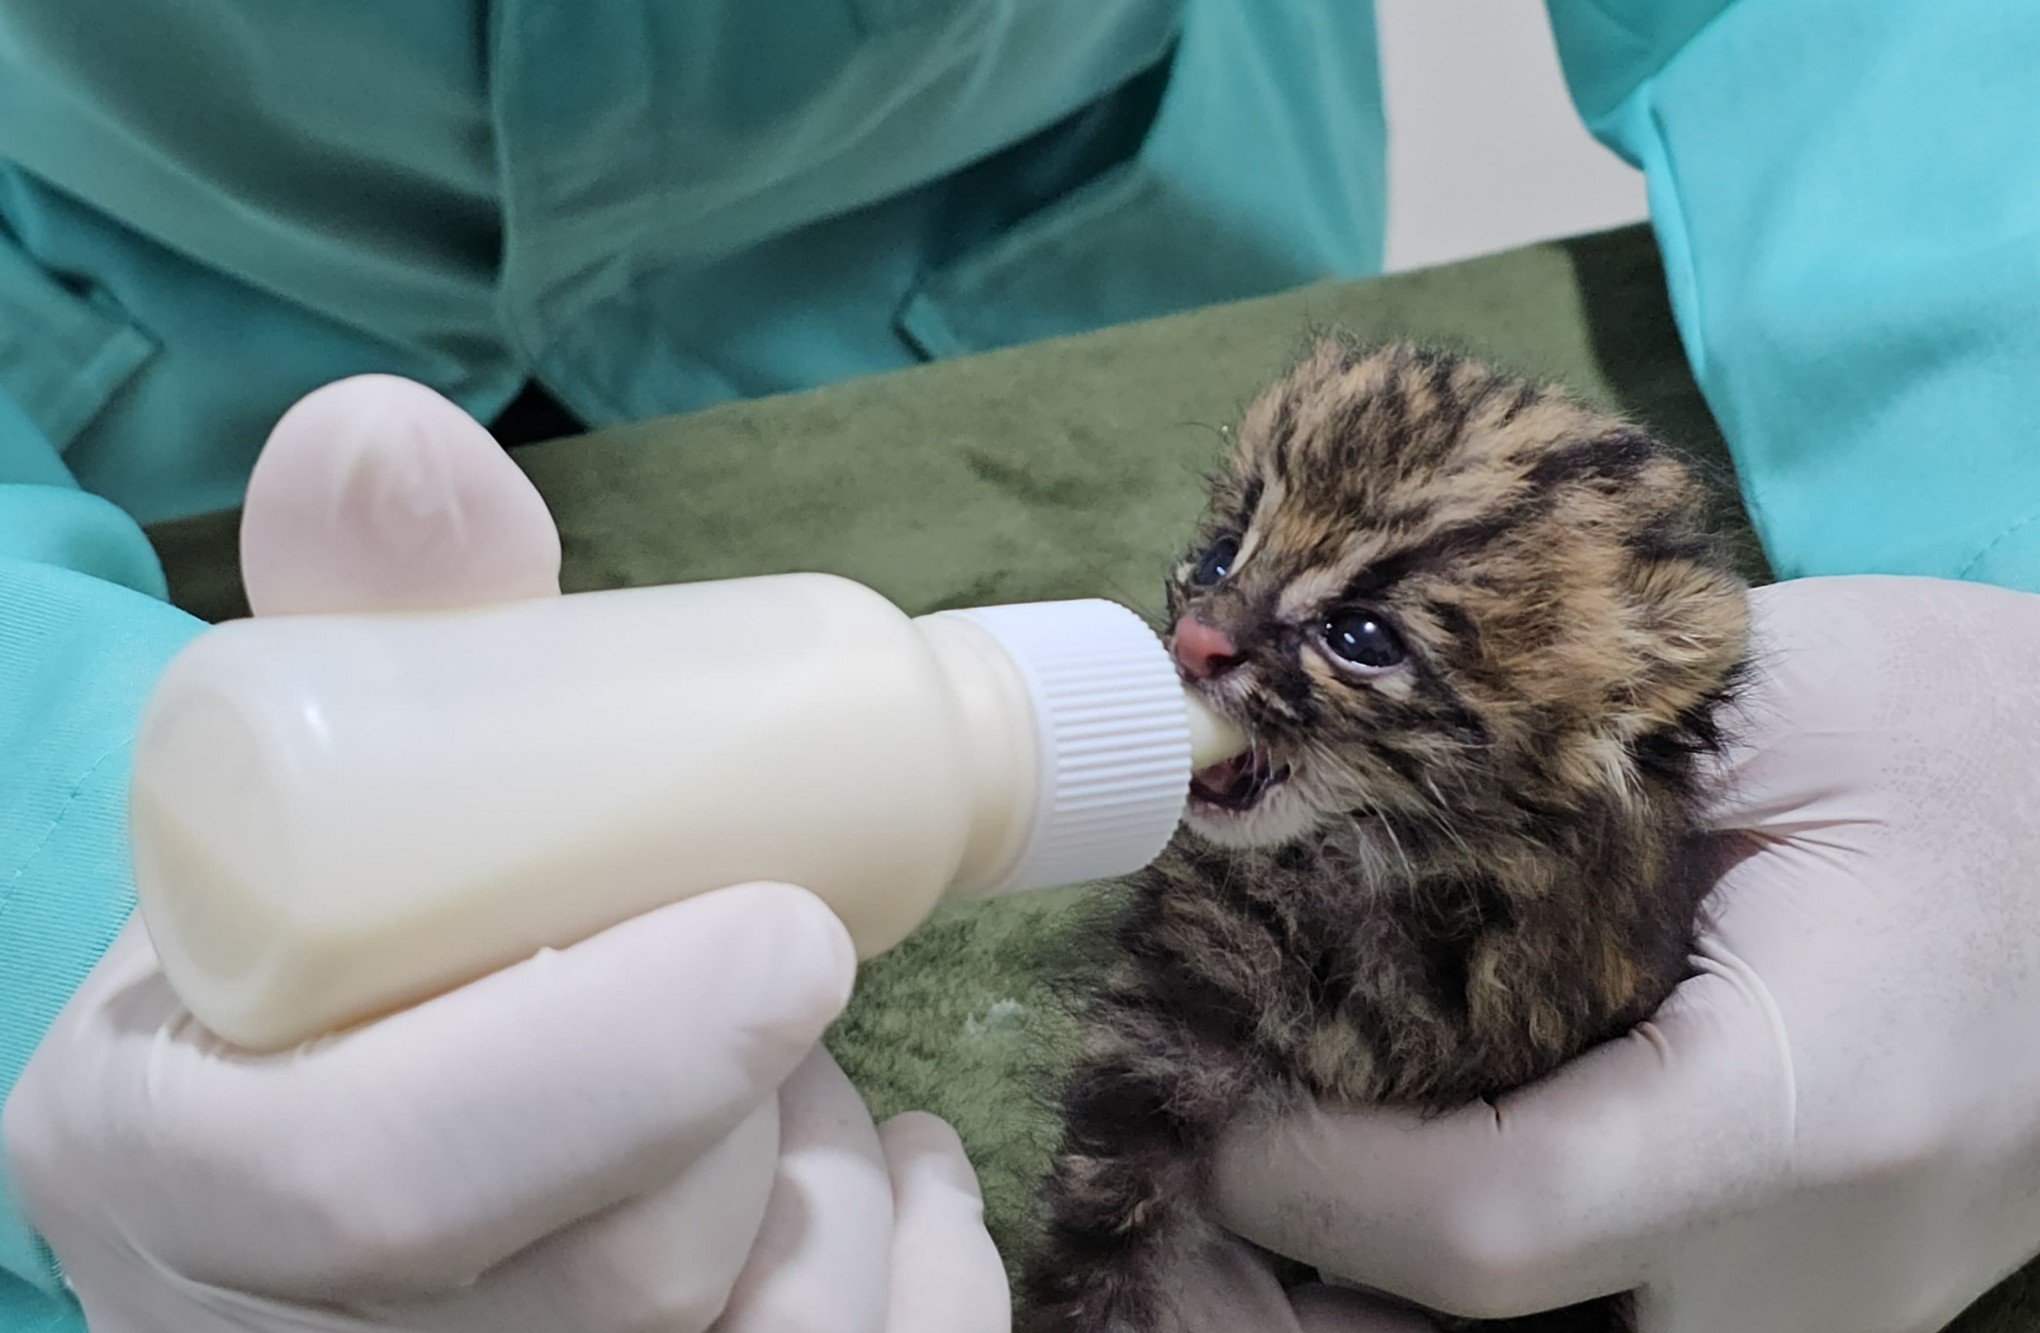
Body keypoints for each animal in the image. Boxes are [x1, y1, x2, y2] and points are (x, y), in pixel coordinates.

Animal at [1020, 338, 1754, 1322]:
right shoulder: (1173, 1008)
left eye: (1361, 636)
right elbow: (1106, 1200)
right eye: (1219, 558)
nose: (1195, 640)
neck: (1359, 872)